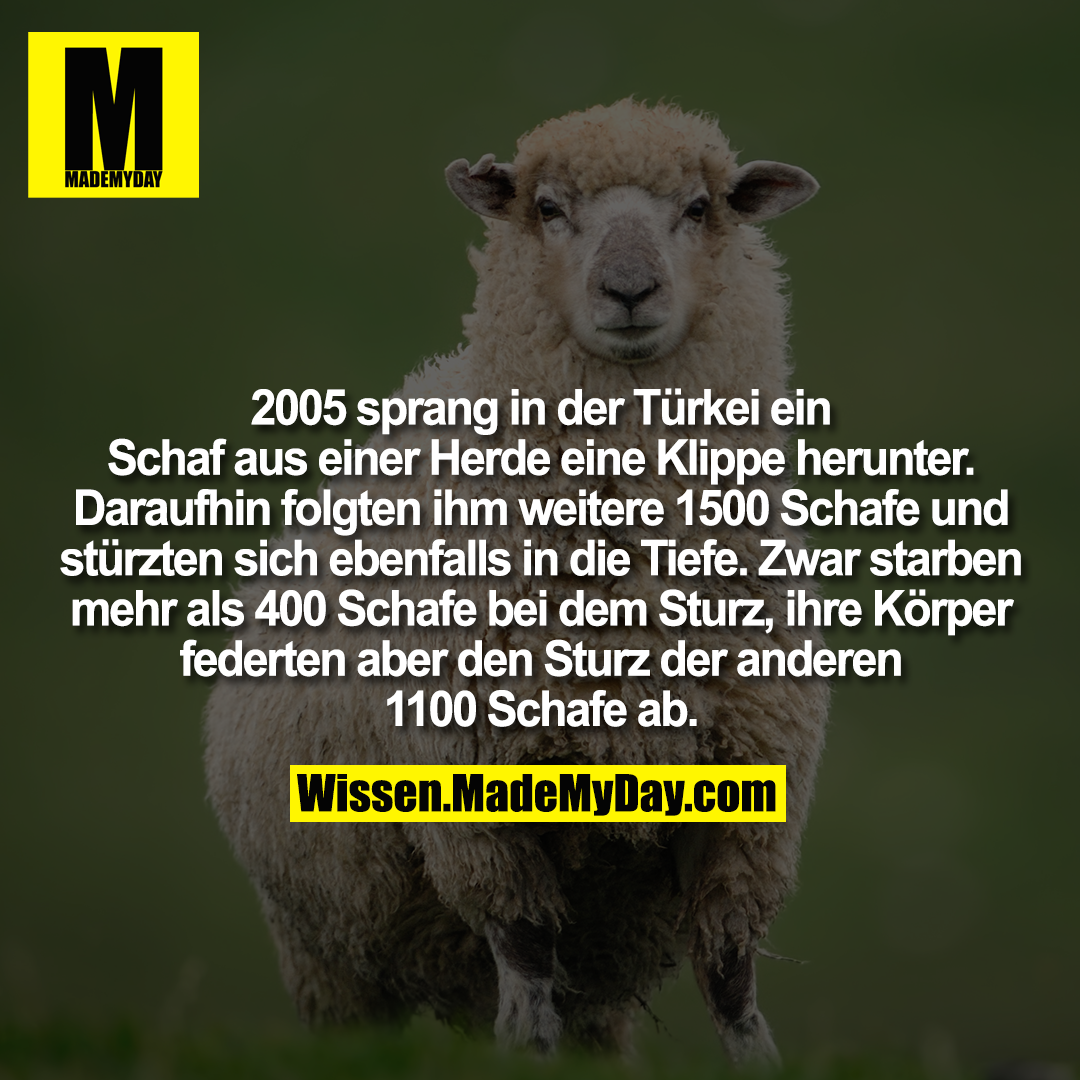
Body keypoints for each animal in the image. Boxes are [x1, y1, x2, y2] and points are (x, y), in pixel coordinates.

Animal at [204, 99, 829, 1067]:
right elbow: (529, 969)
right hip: (325, 945)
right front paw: (523, 1050)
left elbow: (732, 985)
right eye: (548, 208)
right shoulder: (482, 808)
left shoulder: (745, 801)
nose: (629, 290)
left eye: (699, 207)